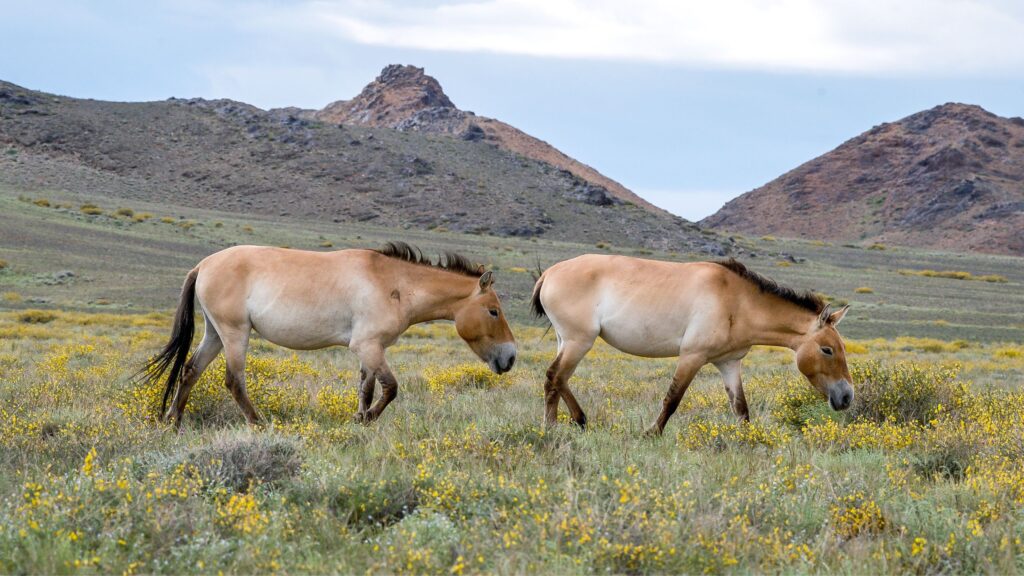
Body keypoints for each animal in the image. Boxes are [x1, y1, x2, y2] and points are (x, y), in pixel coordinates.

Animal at [140, 240, 516, 426]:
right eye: (493, 311)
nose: (510, 357)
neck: (394, 284)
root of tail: (202, 265)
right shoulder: (368, 346)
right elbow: (391, 389)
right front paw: (368, 420)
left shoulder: (371, 350)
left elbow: (366, 388)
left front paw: (359, 419)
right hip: (235, 334)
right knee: (233, 381)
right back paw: (258, 422)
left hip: (216, 334)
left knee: (190, 370)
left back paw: (174, 421)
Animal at [532, 253, 851, 432]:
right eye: (827, 349)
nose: (847, 397)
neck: (738, 301)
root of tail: (549, 273)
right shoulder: (692, 356)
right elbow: (672, 399)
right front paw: (651, 433)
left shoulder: (728, 363)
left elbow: (741, 409)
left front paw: (748, 441)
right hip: (579, 341)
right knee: (555, 377)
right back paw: (560, 425)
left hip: (567, 341)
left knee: (557, 380)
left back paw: (566, 423)